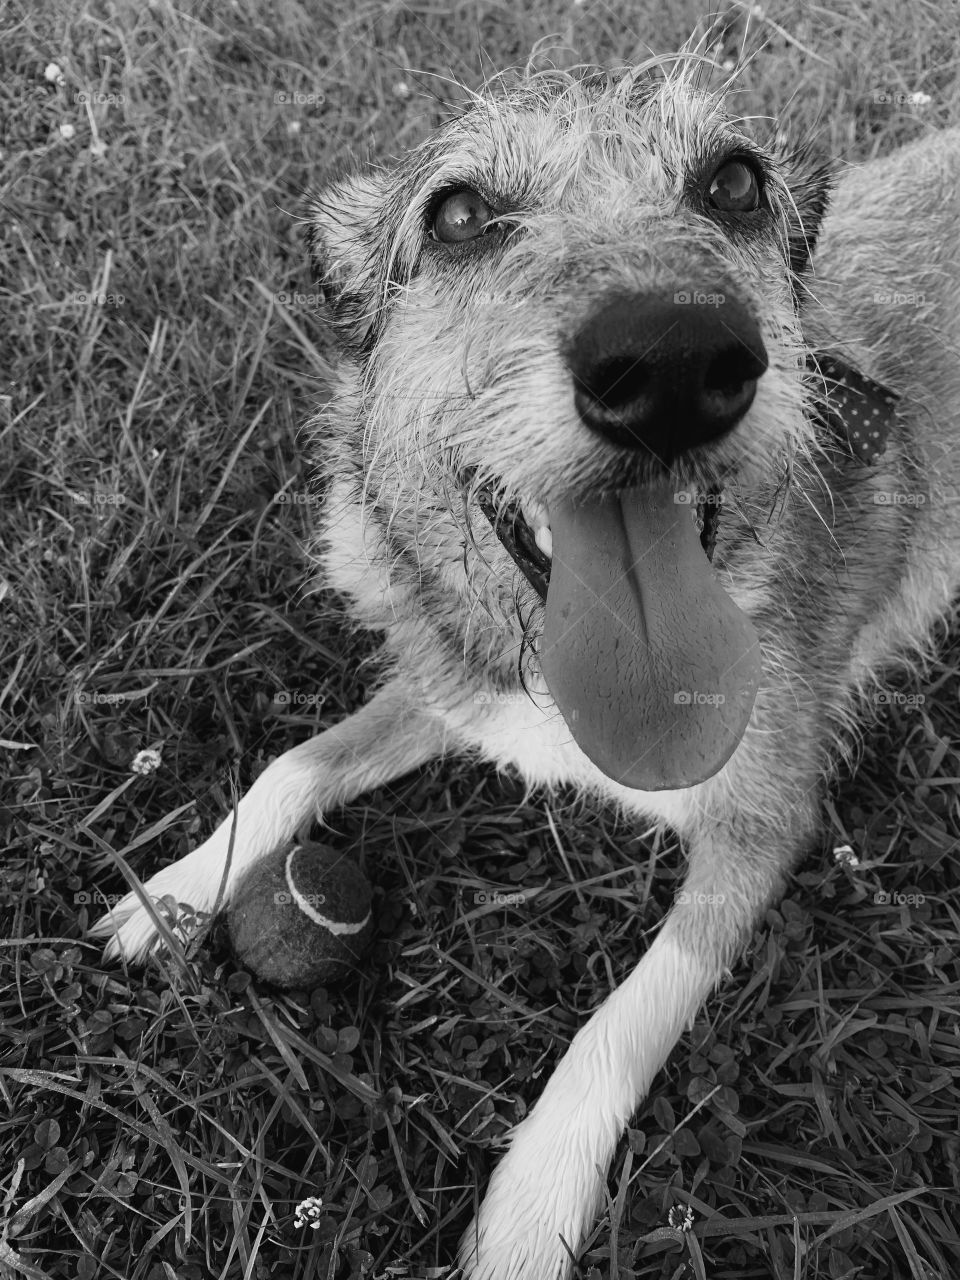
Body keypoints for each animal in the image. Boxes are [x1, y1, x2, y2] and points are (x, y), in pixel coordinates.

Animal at [92, 52, 960, 1280]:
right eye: (457, 213)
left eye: (736, 184)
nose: (674, 360)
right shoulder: (457, 684)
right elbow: (294, 765)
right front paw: (172, 890)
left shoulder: (766, 824)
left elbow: (626, 1015)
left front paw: (531, 1206)